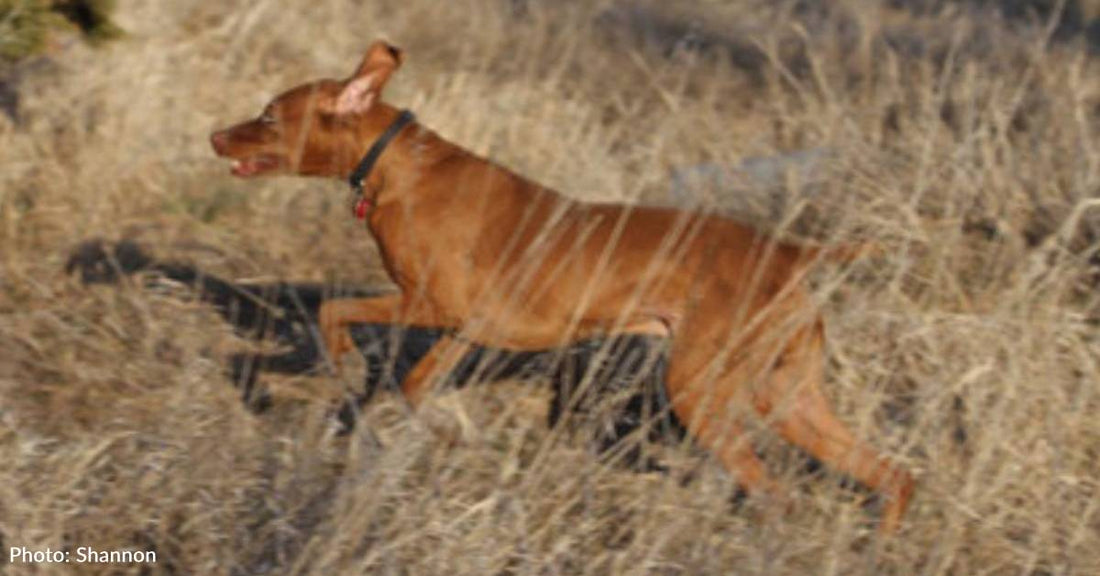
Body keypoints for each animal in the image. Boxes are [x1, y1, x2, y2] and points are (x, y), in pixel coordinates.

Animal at [210, 42, 915, 534]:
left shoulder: (430, 303)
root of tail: (792, 252)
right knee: (891, 474)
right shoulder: (463, 327)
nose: (214, 135)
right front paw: (442, 433)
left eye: (269, 114)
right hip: (787, 396)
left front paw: (331, 368)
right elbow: (413, 387)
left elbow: (332, 313)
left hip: (701, 388)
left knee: (775, 492)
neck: (398, 166)